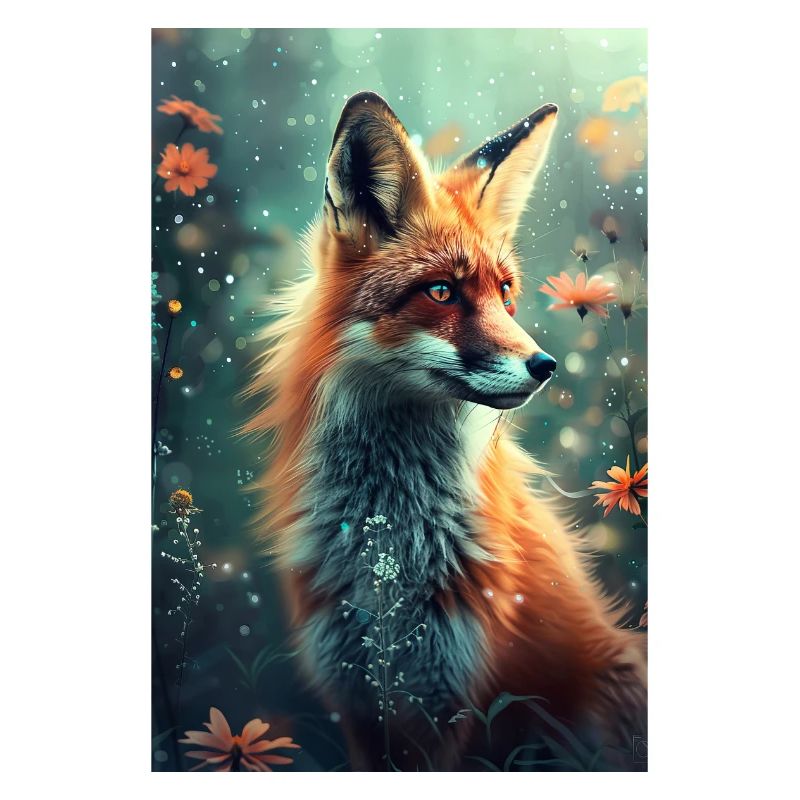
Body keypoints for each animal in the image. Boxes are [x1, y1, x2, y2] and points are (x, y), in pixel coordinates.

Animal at [243, 91, 646, 771]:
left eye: (505, 293)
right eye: (441, 291)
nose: (546, 366)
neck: (391, 551)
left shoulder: (452, 699)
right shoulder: (359, 697)